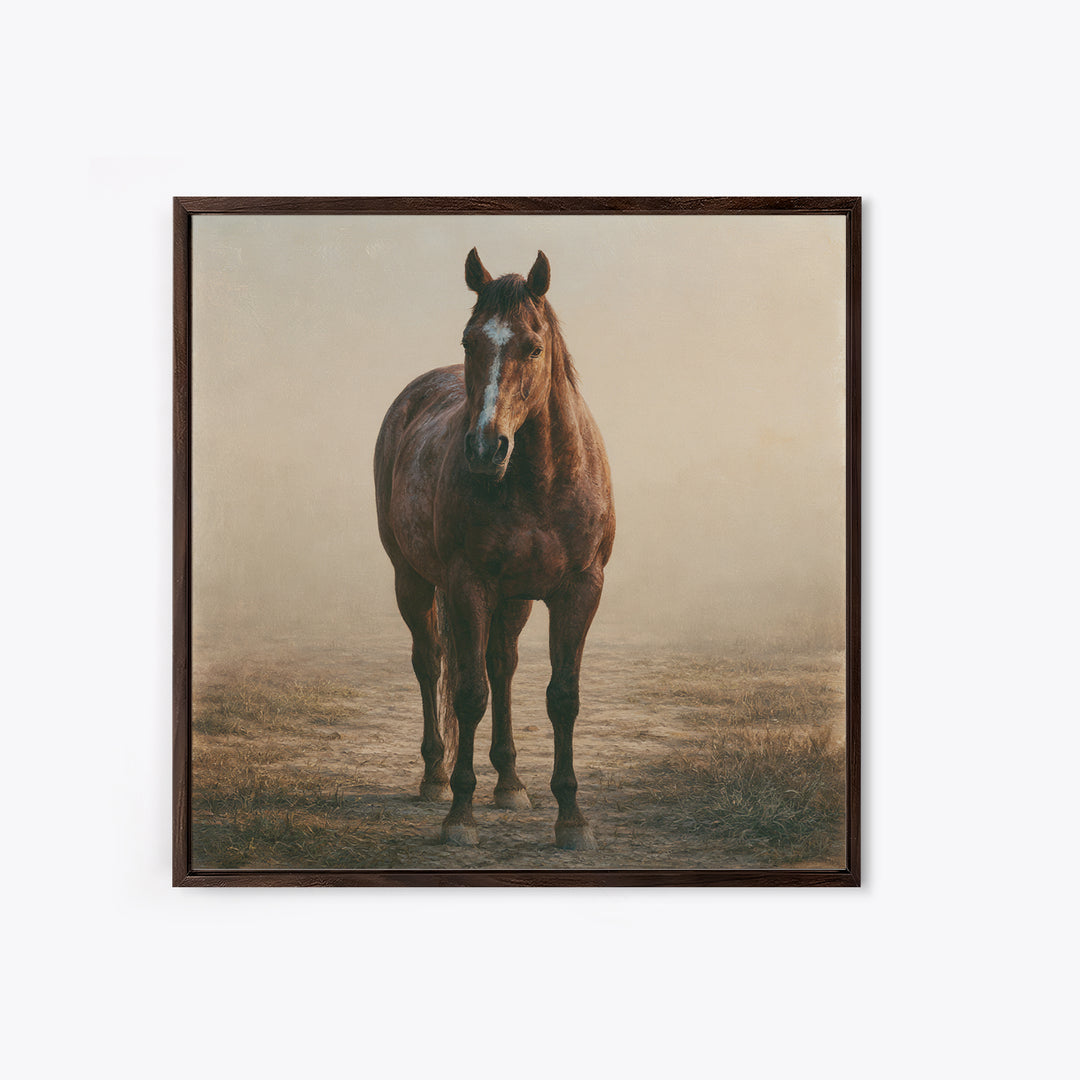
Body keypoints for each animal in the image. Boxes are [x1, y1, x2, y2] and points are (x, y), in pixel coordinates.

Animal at [373, 248, 615, 849]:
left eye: (533, 346)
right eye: (469, 342)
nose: (485, 448)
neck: (540, 481)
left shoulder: (580, 589)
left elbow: (562, 696)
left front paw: (571, 818)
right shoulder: (467, 585)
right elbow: (468, 694)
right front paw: (460, 816)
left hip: (516, 598)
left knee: (502, 664)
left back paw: (509, 781)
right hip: (412, 580)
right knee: (431, 661)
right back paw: (435, 776)